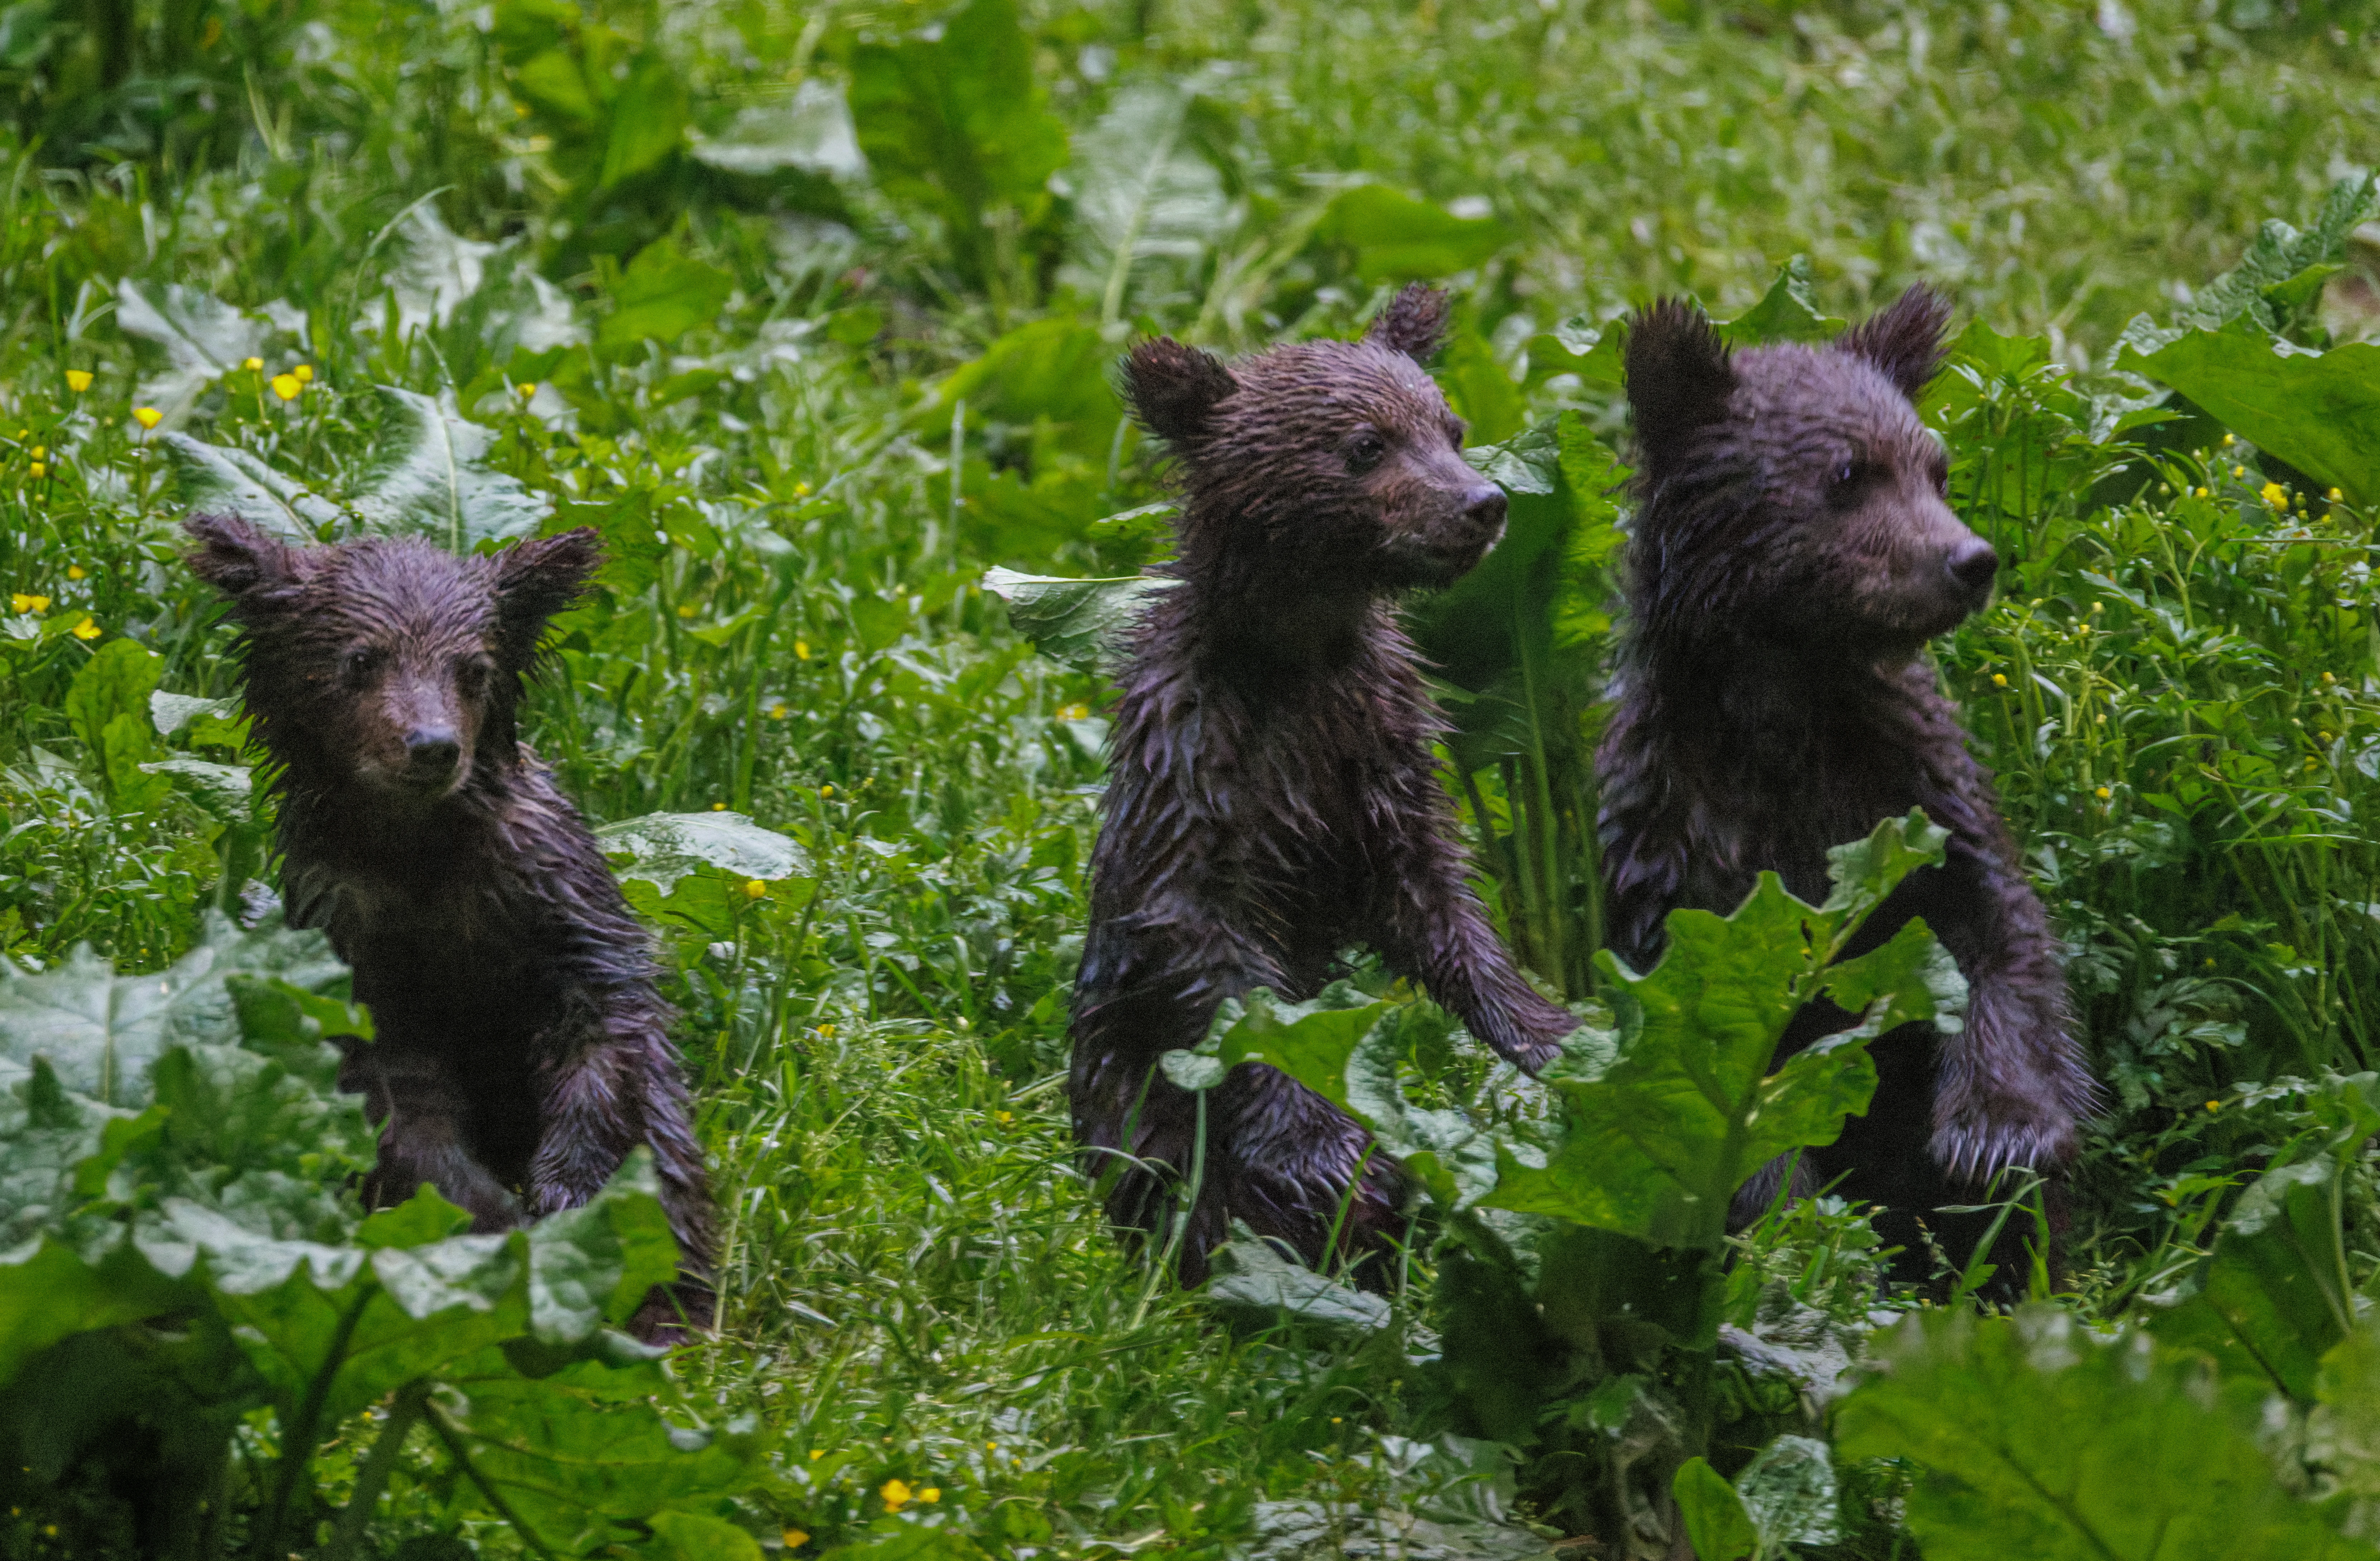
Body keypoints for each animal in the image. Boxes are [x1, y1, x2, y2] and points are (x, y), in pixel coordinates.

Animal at [184, 514, 715, 1335]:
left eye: (473, 667)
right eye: (360, 659)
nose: (431, 746)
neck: (421, 860)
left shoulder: (548, 893)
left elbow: (607, 1036)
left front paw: (571, 1195)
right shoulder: (353, 931)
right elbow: (401, 1101)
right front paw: (488, 1224)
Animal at [1071, 284, 1580, 1291]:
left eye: (1452, 426)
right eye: (1365, 444)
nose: (1483, 504)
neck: (1297, 663)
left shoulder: (1379, 761)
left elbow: (1444, 918)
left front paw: (1555, 1037)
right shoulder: (1201, 778)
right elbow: (1227, 990)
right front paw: (1342, 1160)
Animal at [1595, 286, 2099, 1280]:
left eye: (1936, 466)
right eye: (1848, 473)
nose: (1970, 561)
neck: (1790, 706)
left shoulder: (1912, 792)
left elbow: (2001, 938)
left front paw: (1998, 1133)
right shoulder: (1679, 846)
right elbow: (1720, 1092)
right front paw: (1796, 1229)